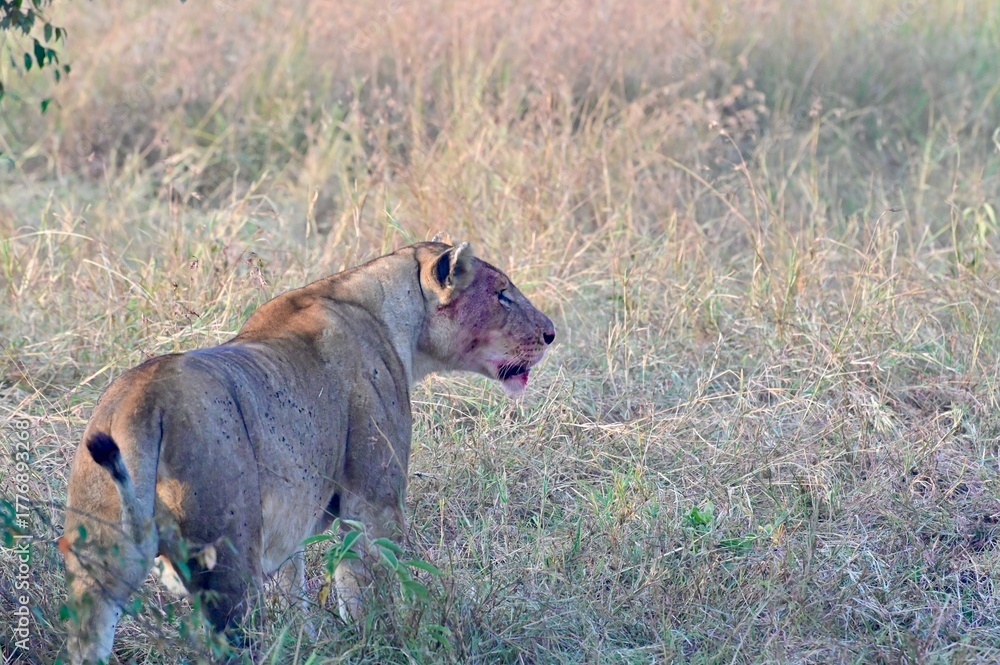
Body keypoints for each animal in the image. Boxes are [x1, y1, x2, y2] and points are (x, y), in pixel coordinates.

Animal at [60, 241, 555, 664]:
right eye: (502, 295)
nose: (551, 333)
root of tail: (143, 399)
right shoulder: (372, 500)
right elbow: (368, 586)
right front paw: (381, 643)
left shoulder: (291, 519)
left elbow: (294, 587)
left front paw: (306, 641)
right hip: (229, 562)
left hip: (97, 564)